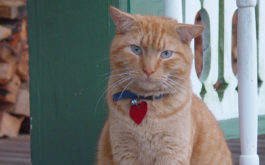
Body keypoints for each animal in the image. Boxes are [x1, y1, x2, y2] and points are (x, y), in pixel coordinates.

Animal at [96, 6, 231, 165]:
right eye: (136, 49)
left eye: (166, 54)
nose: (148, 70)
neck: (147, 103)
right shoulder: (125, 152)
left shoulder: (172, 154)